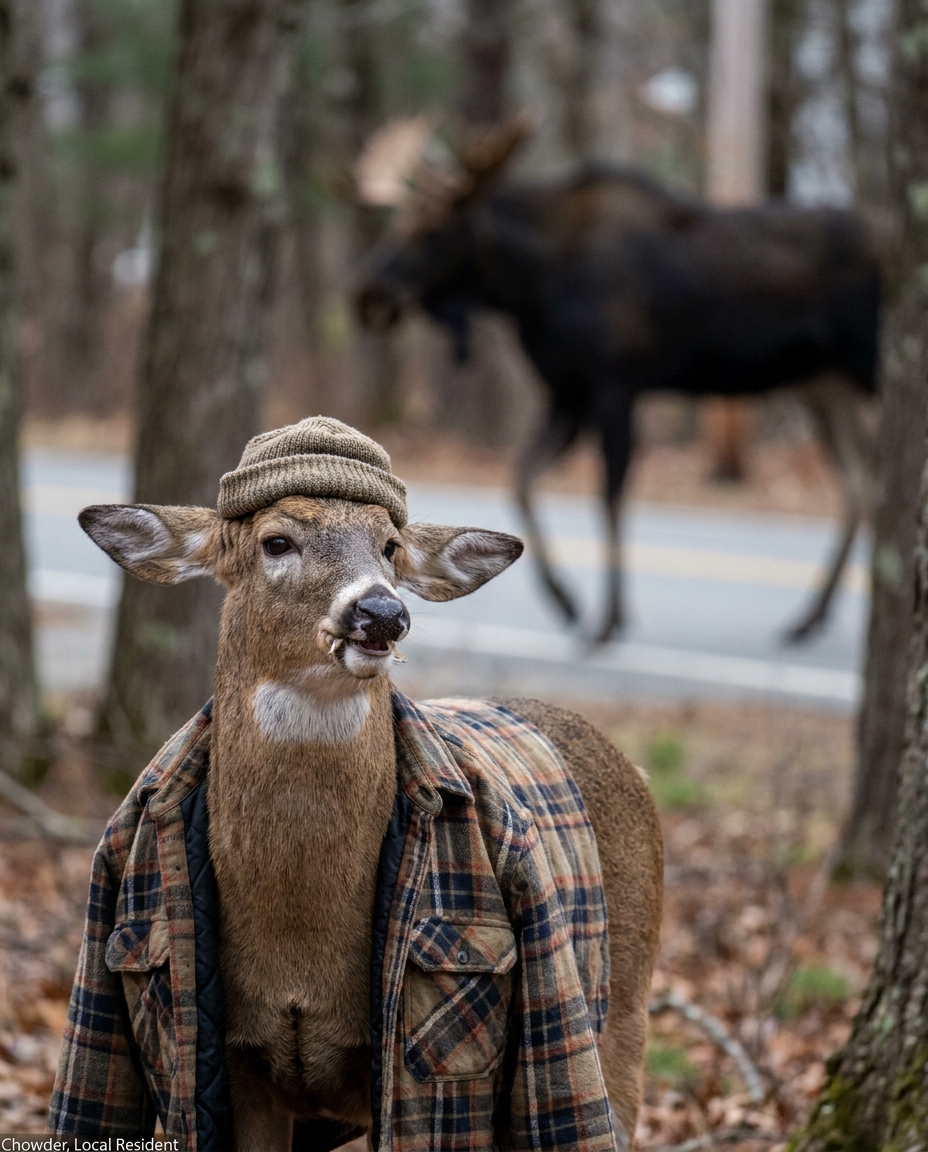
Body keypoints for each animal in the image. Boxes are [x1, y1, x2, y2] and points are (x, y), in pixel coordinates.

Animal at [50, 417, 663, 1152]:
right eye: (276, 541)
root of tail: (632, 767)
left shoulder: (383, 1072)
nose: (381, 612)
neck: (299, 946)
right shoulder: (242, 1068)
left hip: (623, 1009)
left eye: (391, 547)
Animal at [353, 117, 882, 645]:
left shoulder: (613, 385)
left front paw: (608, 619)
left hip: (865, 367)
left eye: (427, 228)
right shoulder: (567, 391)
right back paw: (809, 618)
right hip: (823, 384)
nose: (368, 295)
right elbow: (521, 480)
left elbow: (609, 498)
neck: (527, 283)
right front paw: (565, 600)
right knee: (859, 485)